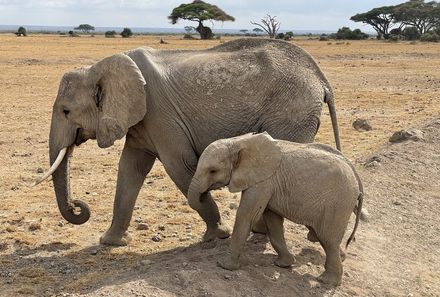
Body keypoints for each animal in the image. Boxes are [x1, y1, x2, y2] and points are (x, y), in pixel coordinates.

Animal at [36, 37, 342, 245]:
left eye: (66, 111)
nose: (79, 206)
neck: (102, 65)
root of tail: (321, 79)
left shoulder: (160, 114)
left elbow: (180, 166)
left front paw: (218, 234)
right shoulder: (141, 121)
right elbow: (131, 169)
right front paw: (110, 242)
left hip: (291, 113)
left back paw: (261, 233)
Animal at [187, 132, 362, 284]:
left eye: (213, 171)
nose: (203, 194)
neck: (239, 142)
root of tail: (355, 175)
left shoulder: (263, 181)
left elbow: (246, 215)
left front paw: (224, 266)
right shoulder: (269, 184)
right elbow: (273, 221)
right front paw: (283, 264)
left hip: (338, 203)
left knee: (327, 238)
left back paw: (326, 281)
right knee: (322, 236)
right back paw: (339, 260)